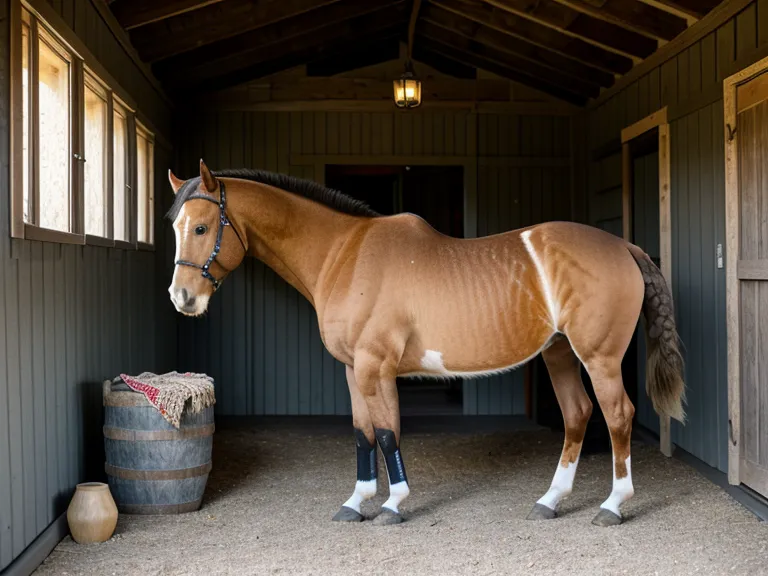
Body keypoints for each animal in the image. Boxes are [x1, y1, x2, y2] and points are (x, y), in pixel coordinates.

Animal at [166, 159, 686, 527]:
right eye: (175, 226)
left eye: (201, 227)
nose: (182, 297)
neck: (345, 253)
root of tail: (622, 246)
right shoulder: (354, 369)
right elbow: (362, 433)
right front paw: (356, 502)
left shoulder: (375, 366)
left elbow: (387, 432)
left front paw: (394, 505)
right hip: (559, 354)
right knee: (577, 414)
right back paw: (550, 501)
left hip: (599, 358)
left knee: (617, 415)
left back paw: (613, 505)